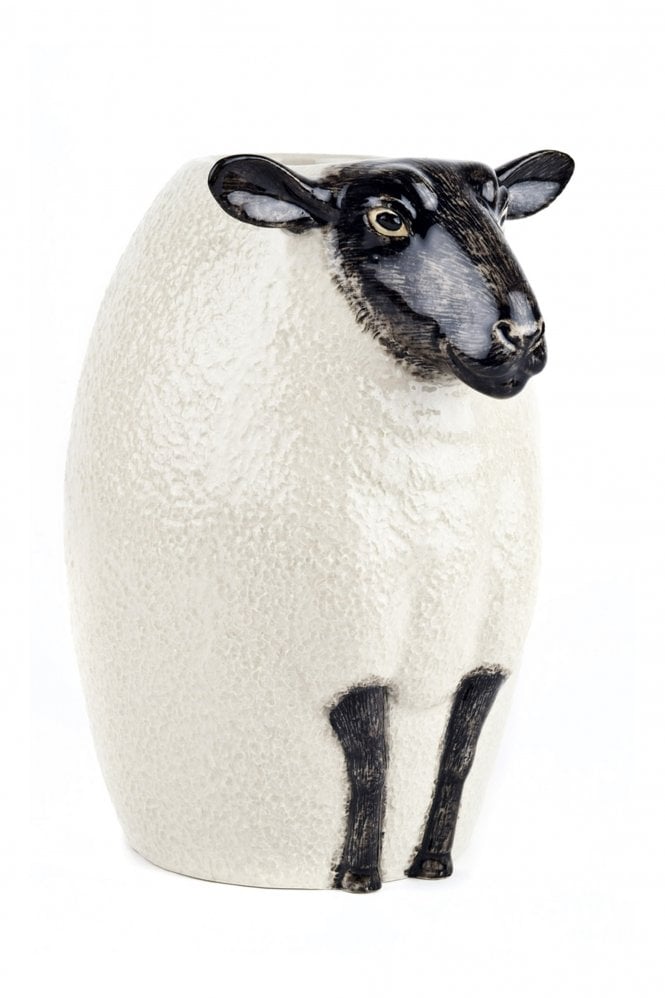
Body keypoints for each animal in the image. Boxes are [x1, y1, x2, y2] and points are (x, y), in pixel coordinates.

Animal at [65, 150, 574, 892]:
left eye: (501, 209)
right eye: (387, 218)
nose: (521, 337)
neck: (431, 502)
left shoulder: (488, 651)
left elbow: (458, 754)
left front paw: (431, 864)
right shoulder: (344, 642)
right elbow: (369, 760)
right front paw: (359, 875)